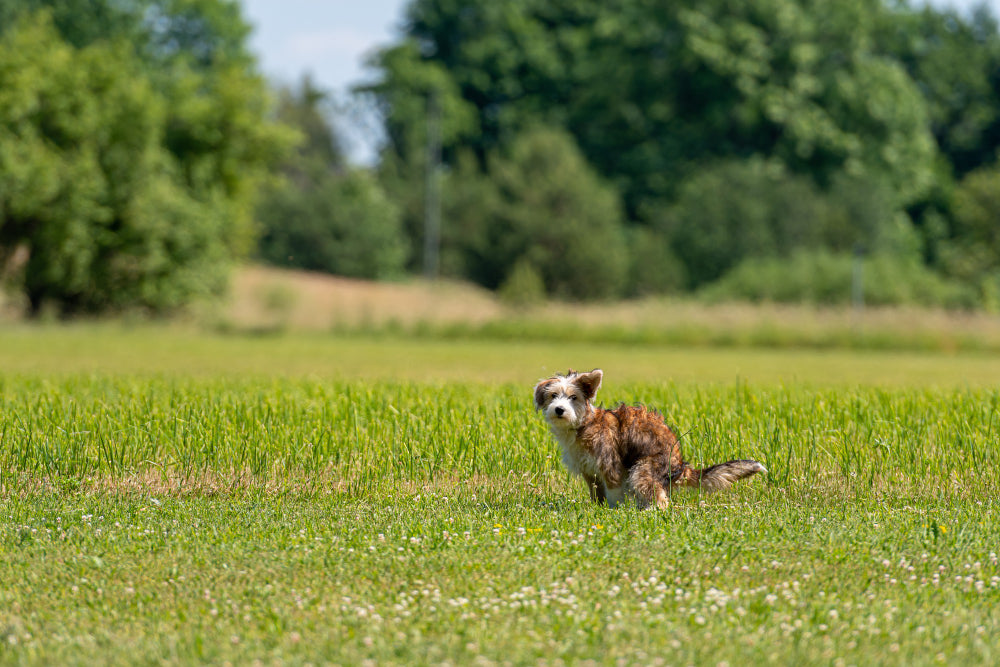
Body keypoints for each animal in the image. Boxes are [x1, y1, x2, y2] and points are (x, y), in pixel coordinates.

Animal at [540, 368, 764, 508]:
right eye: (553, 396)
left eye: (573, 397)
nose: (559, 409)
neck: (583, 425)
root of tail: (680, 465)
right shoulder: (589, 471)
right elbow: (597, 493)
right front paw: (598, 508)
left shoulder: (610, 464)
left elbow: (614, 492)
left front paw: (612, 510)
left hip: (643, 469)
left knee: (660, 499)